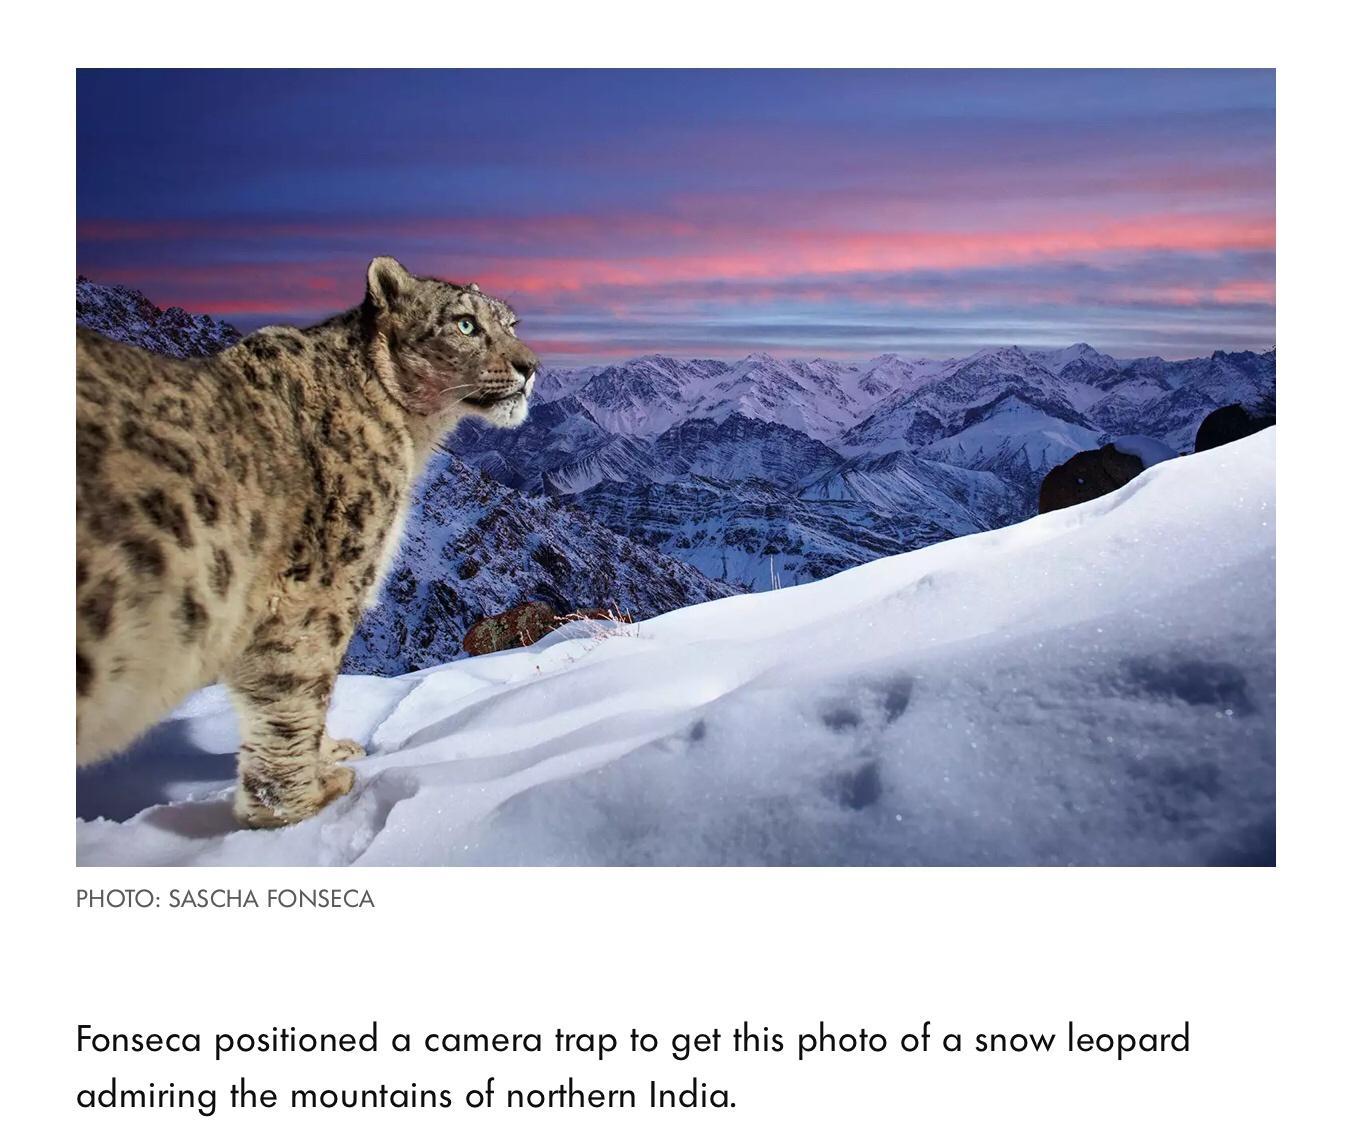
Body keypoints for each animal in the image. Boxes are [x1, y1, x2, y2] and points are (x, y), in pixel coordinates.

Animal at [77, 256, 537, 825]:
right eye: (466, 324)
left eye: (511, 323)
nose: (530, 366)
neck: (413, 437)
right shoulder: (320, 586)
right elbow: (298, 690)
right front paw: (302, 802)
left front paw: (330, 754)